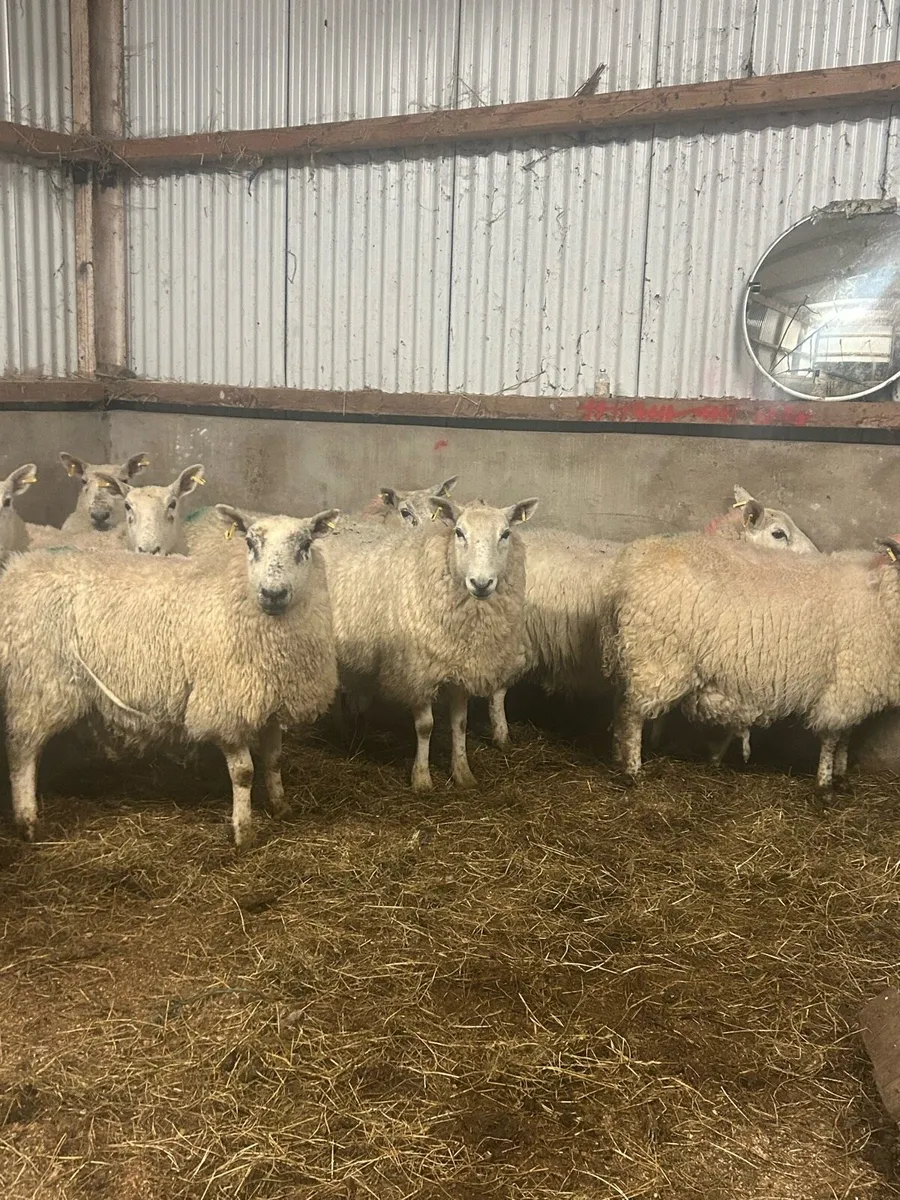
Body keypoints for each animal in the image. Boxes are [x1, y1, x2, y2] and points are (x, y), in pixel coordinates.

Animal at [0, 505, 339, 846]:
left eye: (305, 545)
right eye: (250, 544)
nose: (273, 594)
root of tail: (16, 569)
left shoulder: (269, 700)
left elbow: (273, 759)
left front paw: (281, 807)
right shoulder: (222, 707)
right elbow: (244, 772)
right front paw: (244, 831)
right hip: (40, 685)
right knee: (21, 751)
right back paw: (28, 821)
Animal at [320, 494, 537, 790]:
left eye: (505, 534)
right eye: (459, 532)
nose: (481, 583)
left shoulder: (461, 666)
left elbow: (460, 723)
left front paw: (462, 773)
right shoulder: (418, 669)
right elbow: (425, 727)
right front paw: (422, 779)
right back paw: (340, 731)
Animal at [610, 531, 900, 790]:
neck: (881, 593)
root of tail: (629, 564)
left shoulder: (856, 686)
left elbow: (846, 735)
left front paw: (841, 777)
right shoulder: (845, 683)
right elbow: (833, 737)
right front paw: (825, 784)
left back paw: (620, 755)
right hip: (657, 657)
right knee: (631, 713)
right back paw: (632, 770)